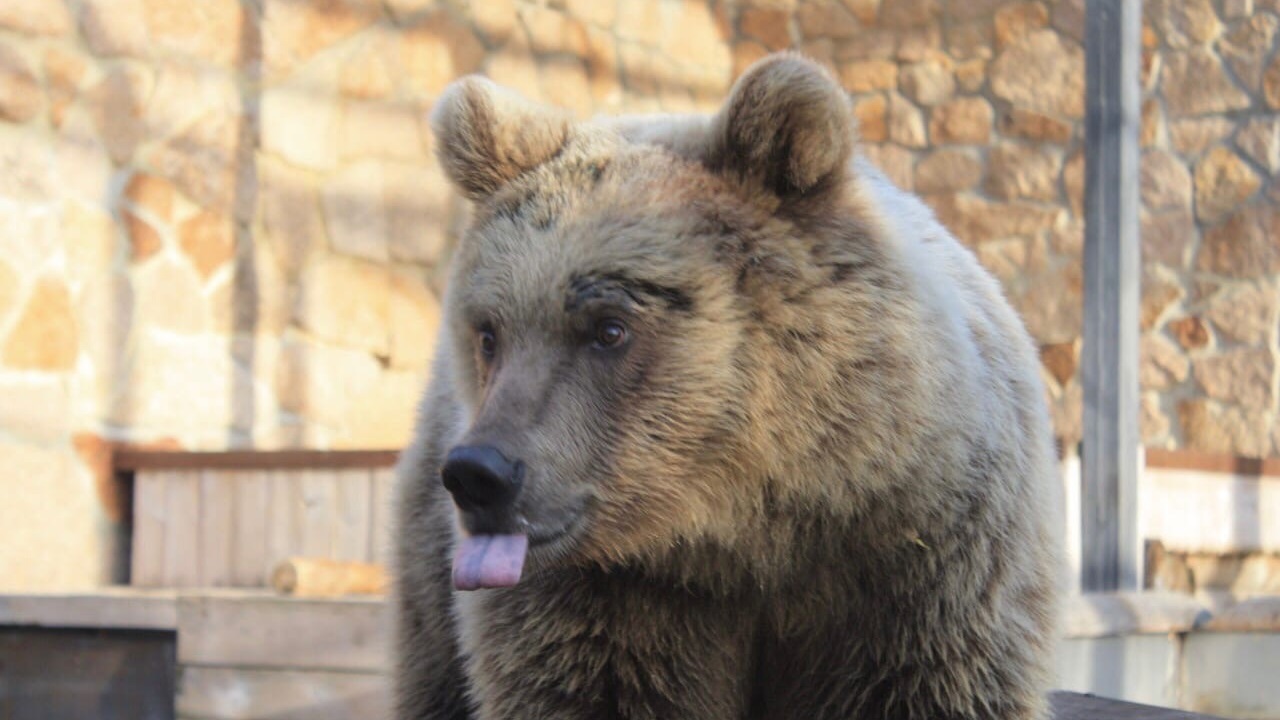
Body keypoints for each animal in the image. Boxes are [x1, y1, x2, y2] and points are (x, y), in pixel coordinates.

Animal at [394, 51, 1064, 717]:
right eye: (489, 332)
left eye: (609, 328)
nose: (480, 473)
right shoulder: (607, 599)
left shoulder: (922, 565)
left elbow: (922, 683)